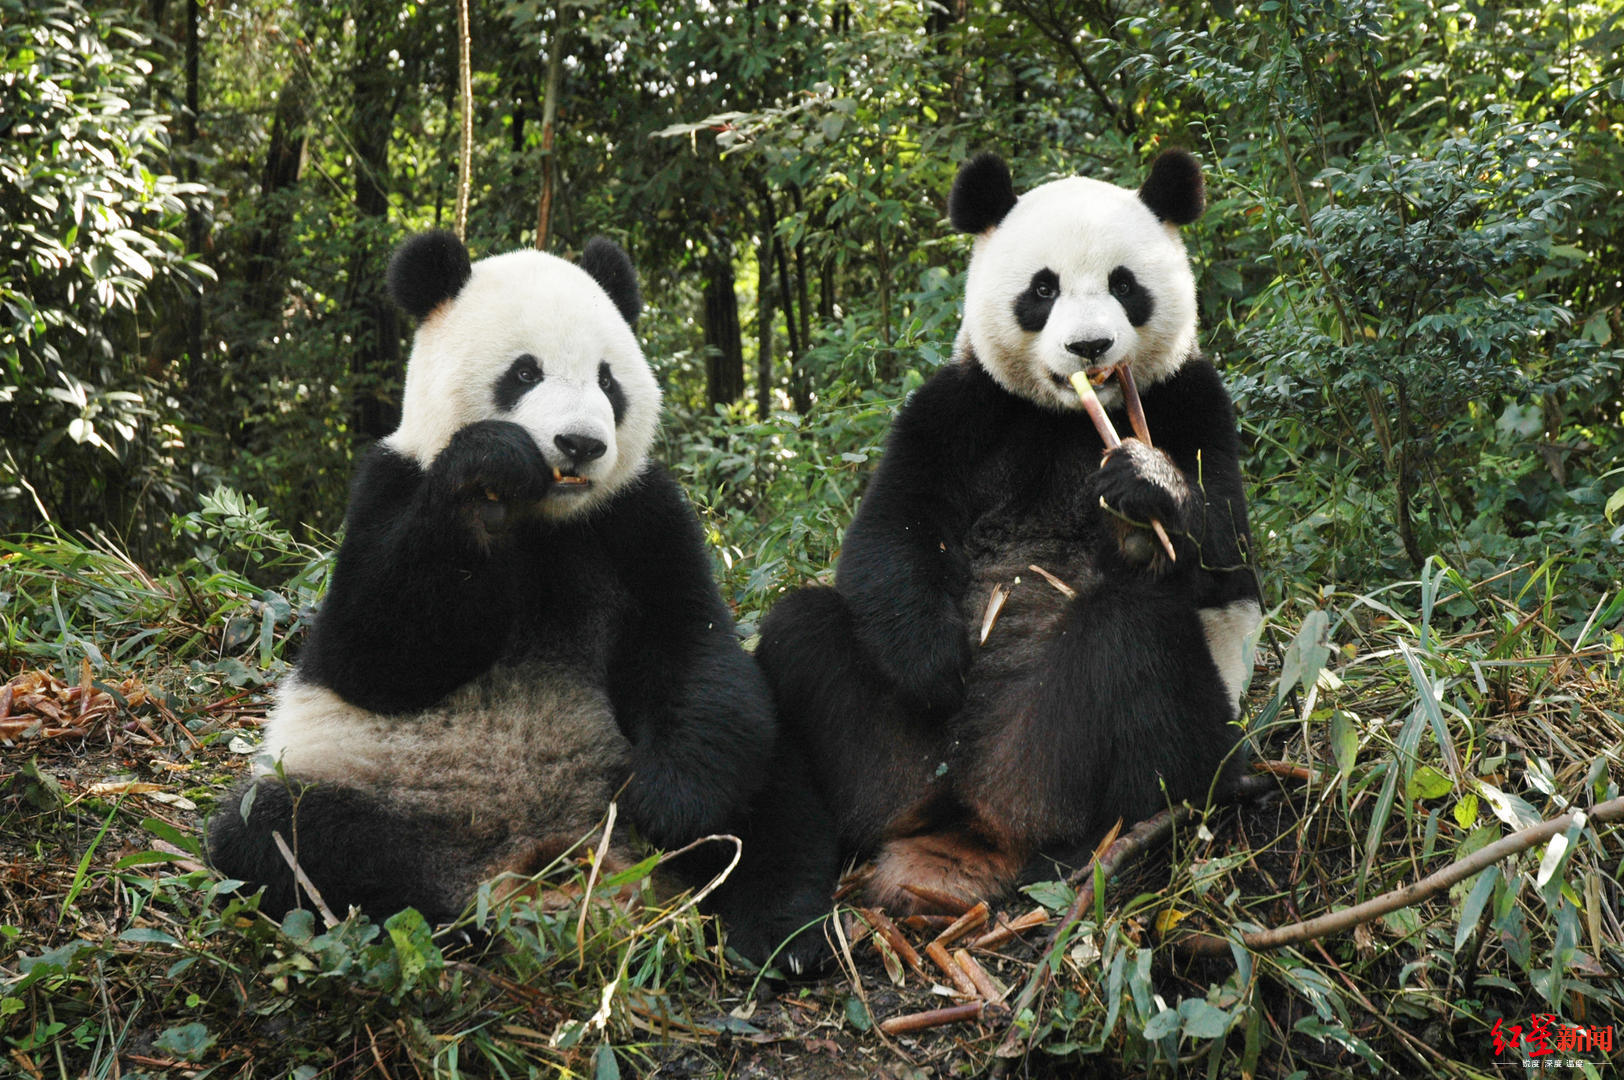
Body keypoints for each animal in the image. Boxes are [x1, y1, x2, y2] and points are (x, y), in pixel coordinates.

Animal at [207, 228, 837, 967]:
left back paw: (781, 932)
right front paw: (489, 473)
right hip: (383, 788)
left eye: (607, 380)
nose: (581, 443)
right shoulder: (388, 485)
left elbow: (690, 643)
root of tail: (543, 851)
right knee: (280, 838)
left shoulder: (638, 515)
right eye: (525, 373)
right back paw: (449, 927)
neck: (546, 517)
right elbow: (374, 655)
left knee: (772, 783)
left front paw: (667, 804)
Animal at [753, 149, 1260, 909]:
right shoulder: (961, 405)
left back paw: (1107, 845)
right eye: (1042, 288)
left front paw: (1143, 487)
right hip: (900, 757)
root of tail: (972, 818)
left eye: (1124, 285)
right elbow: (888, 531)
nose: (1089, 347)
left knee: (1143, 655)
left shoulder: (1192, 396)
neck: (1067, 417)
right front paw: (935, 664)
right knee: (802, 631)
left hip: (1067, 751)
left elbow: (1225, 553)